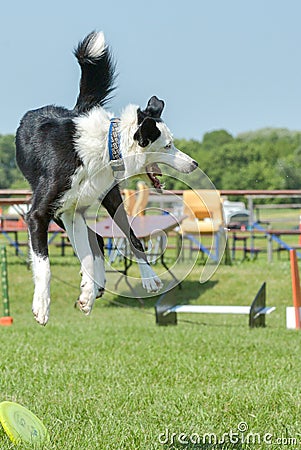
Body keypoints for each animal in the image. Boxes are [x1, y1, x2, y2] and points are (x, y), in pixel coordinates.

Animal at [15, 32, 197, 326]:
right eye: (168, 146)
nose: (194, 164)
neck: (105, 145)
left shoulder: (106, 199)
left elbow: (129, 239)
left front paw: (148, 278)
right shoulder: (39, 214)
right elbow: (45, 264)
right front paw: (42, 305)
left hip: (80, 207)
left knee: (96, 241)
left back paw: (93, 289)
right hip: (61, 211)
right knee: (93, 242)